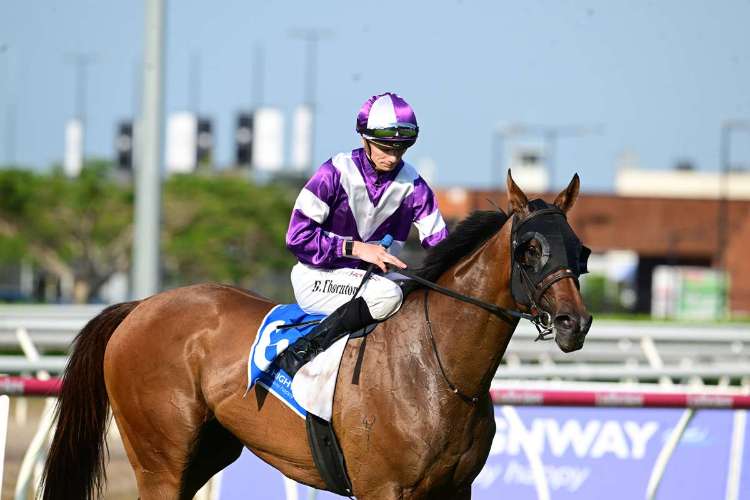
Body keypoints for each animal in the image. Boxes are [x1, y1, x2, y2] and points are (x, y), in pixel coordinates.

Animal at [41, 171, 592, 500]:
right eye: (528, 249)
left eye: (580, 250)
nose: (575, 323)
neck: (438, 373)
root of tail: (139, 307)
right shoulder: (382, 490)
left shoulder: (455, 491)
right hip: (160, 458)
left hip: (208, 450)